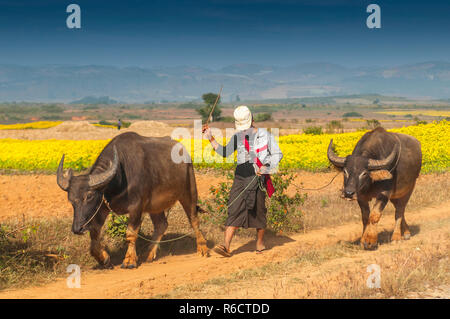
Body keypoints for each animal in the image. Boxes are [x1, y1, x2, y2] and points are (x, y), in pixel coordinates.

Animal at [56, 132, 209, 270]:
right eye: (71, 200)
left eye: (89, 196)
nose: (77, 228)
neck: (118, 180)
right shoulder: (102, 208)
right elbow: (94, 234)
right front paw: (104, 259)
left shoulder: (136, 207)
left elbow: (130, 233)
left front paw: (129, 261)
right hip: (155, 206)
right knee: (161, 224)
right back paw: (149, 254)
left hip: (189, 191)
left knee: (194, 219)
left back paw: (203, 248)